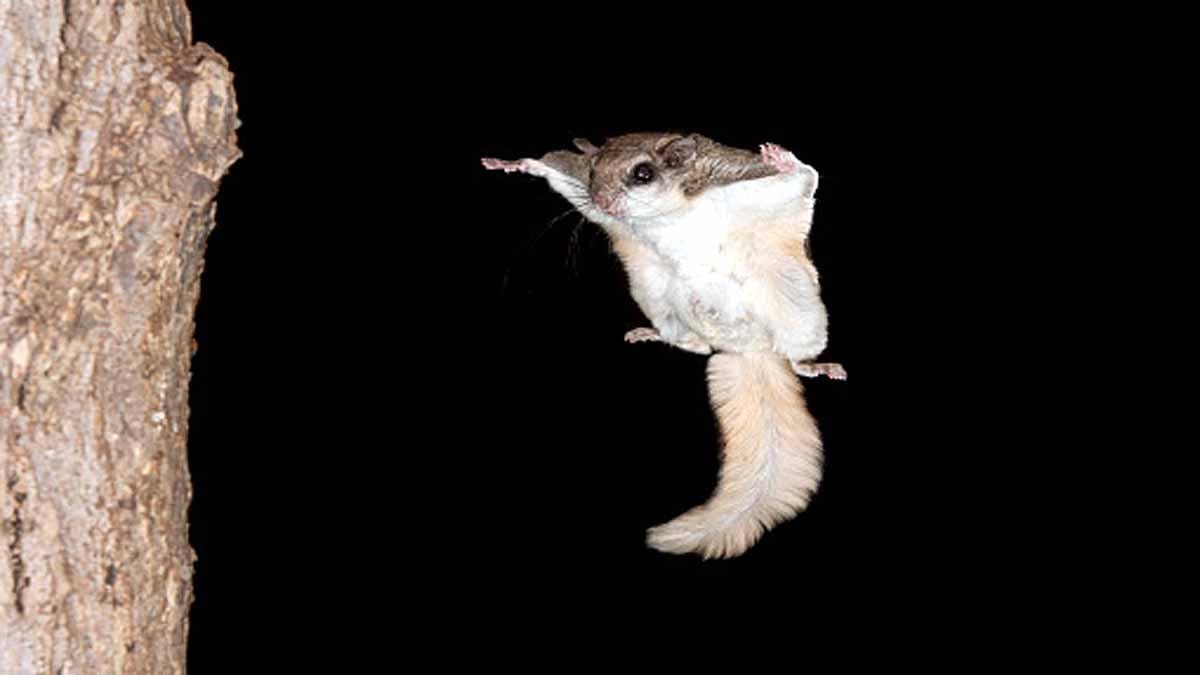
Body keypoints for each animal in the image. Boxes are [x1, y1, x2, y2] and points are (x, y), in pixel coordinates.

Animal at [482, 132, 845, 559]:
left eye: (643, 173)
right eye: (594, 170)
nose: (601, 202)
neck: (667, 214)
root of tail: (747, 350)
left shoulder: (744, 183)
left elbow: (804, 179)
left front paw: (785, 159)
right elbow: (555, 167)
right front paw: (514, 163)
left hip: (796, 304)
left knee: (793, 352)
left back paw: (813, 365)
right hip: (657, 293)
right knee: (696, 346)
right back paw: (659, 335)